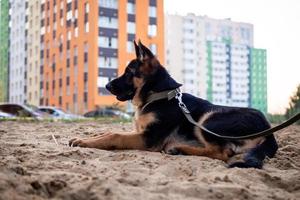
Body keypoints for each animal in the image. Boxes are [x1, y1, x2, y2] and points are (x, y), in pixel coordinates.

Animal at [69, 40, 278, 169]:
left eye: (129, 73)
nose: (106, 85)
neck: (157, 96)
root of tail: (268, 130)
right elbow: (107, 132)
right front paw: (86, 138)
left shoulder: (148, 138)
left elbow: (115, 135)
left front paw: (84, 142)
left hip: (208, 119)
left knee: (223, 152)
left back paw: (180, 149)